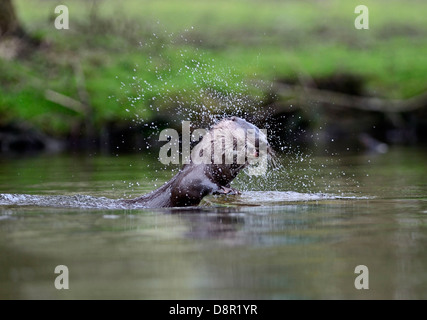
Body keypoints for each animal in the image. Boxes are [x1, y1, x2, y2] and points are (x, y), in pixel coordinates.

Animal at [122, 116, 272, 209]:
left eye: (265, 136)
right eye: (253, 132)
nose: (265, 145)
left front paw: (232, 189)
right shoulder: (191, 176)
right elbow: (190, 187)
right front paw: (226, 190)